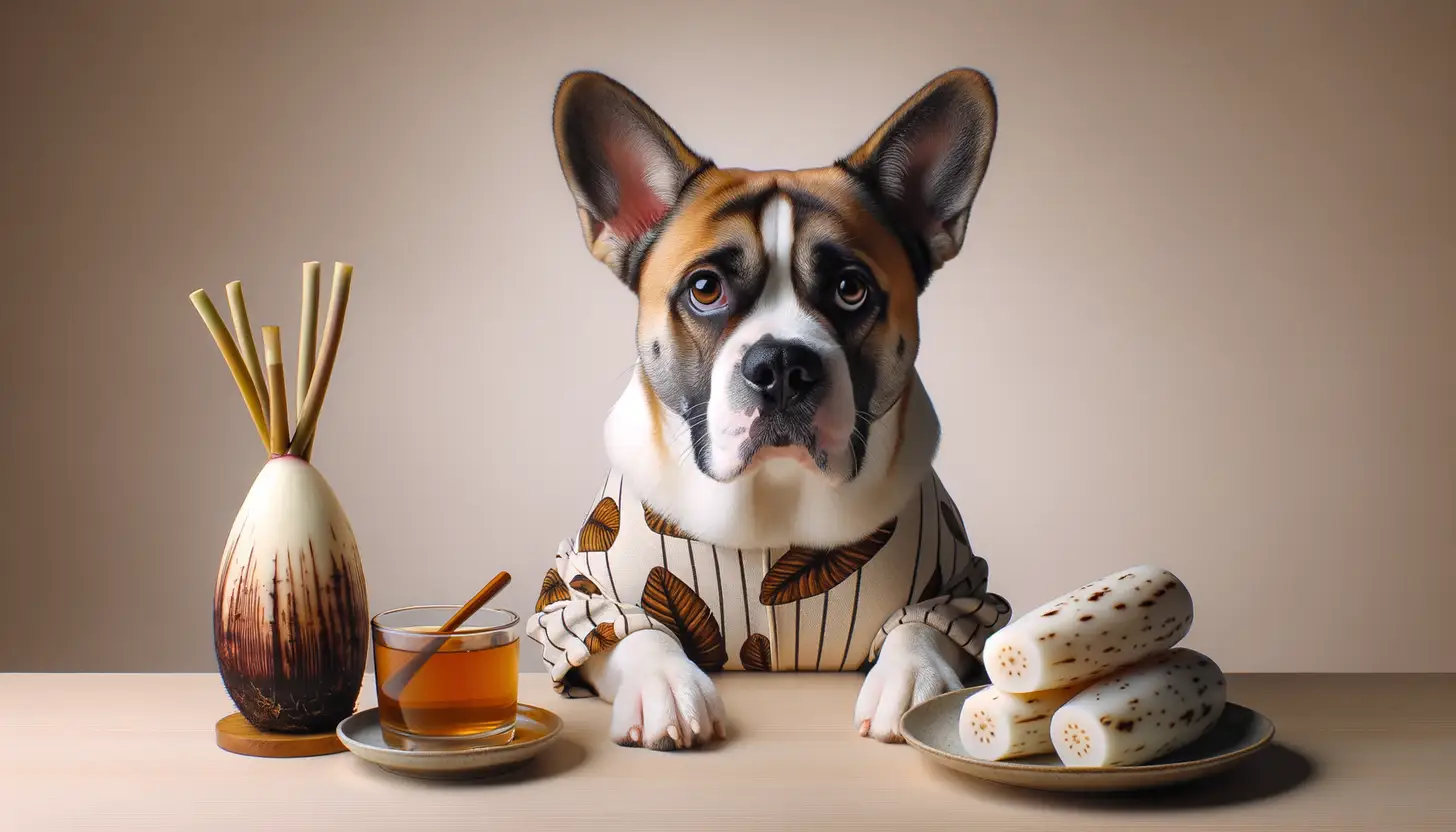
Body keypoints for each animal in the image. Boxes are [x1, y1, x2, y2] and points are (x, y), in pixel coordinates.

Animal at [524, 68, 1013, 751]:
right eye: (705, 289)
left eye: (851, 289)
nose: (782, 365)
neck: (773, 499)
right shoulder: (575, 598)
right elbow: (630, 632)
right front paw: (665, 687)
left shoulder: (964, 594)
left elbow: (924, 626)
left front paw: (913, 680)